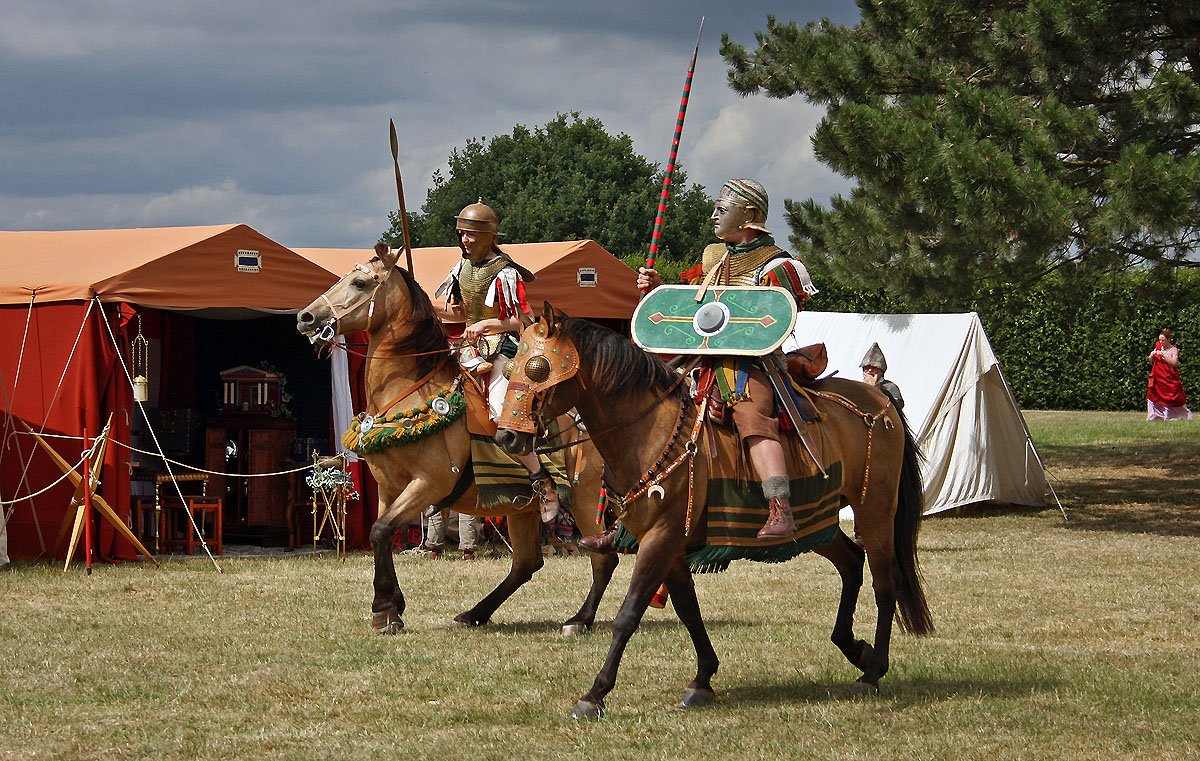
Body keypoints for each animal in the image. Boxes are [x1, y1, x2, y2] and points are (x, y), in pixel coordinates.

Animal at [297, 244, 619, 633]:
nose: (305, 317)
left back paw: (579, 620)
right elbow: (380, 534)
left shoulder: (428, 484)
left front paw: (384, 608)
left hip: (586, 496)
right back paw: (476, 613)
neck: (408, 391)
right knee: (526, 563)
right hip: (520, 506)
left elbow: (380, 531)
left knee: (603, 559)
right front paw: (391, 607)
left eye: (360, 283)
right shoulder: (388, 488)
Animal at [492, 303, 931, 715]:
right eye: (511, 367)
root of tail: (879, 399)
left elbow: (628, 614)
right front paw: (702, 679)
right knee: (851, 563)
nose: (507, 437)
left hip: (875, 509)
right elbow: (688, 609)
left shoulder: (661, 538)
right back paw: (855, 649)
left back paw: (873, 673)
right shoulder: (669, 544)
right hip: (816, 520)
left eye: (538, 368)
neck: (648, 432)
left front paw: (595, 694)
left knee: (885, 581)